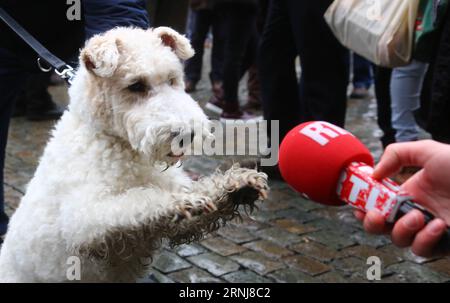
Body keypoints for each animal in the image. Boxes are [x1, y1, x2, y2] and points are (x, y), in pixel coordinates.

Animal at [0, 27, 268, 284]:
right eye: (136, 85)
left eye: (172, 79)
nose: (186, 135)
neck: (116, 144)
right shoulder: (86, 220)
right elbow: (141, 201)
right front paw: (182, 201)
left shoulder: (171, 223)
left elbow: (199, 197)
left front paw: (239, 185)